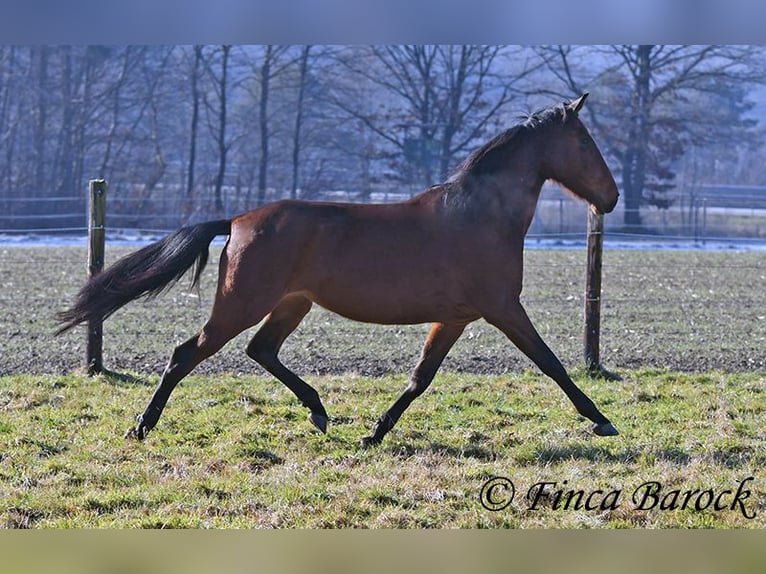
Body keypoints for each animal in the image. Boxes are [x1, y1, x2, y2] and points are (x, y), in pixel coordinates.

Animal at [60, 92, 624, 448]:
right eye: (584, 143)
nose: (612, 197)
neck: (480, 216)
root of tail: (237, 220)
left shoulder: (457, 316)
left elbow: (420, 377)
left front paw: (374, 434)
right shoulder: (502, 307)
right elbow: (551, 364)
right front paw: (602, 421)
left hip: (291, 304)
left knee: (260, 350)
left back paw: (318, 409)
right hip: (242, 303)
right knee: (186, 354)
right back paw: (142, 427)